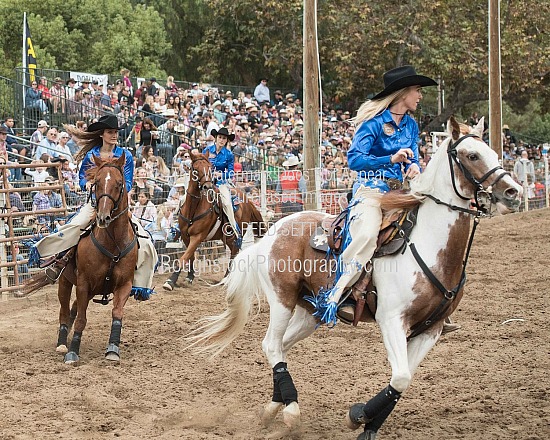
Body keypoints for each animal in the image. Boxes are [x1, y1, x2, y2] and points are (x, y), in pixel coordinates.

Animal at [162, 151, 268, 292]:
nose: (207, 186)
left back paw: (226, 279)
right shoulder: (185, 236)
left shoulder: (198, 236)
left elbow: (184, 257)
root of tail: (247, 200)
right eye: (195, 169)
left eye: (209, 168)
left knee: (234, 252)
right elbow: (190, 257)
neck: (194, 207)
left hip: (235, 234)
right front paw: (189, 277)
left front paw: (170, 281)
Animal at [191, 117, 528, 440]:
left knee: (281, 348)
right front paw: (359, 415)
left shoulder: (430, 331)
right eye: (472, 155)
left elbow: (402, 381)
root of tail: (276, 228)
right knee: (271, 345)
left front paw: (368, 424)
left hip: (310, 313)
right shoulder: (391, 320)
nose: (513, 192)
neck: (430, 246)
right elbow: (401, 377)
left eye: (494, 153)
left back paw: (274, 407)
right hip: (282, 300)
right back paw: (291, 410)